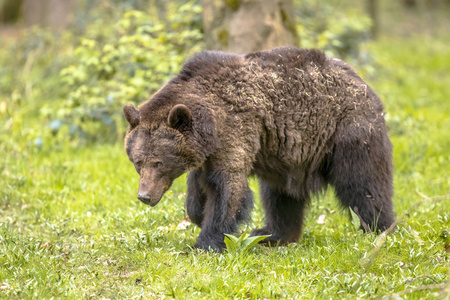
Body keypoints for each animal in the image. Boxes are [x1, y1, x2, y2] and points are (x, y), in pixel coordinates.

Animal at [122, 45, 394, 252]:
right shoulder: (209, 152)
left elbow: (227, 188)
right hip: (287, 156)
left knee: (363, 184)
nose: (144, 195)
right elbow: (198, 189)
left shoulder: (237, 129)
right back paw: (272, 234)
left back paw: (378, 228)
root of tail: (363, 82)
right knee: (280, 195)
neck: (211, 125)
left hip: (348, 131)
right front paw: (198, 215)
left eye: (159, 162)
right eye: (138, 162)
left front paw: (208, 242)